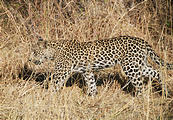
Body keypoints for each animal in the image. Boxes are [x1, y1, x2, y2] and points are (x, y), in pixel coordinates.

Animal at [29, 35, 172, 96]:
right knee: (157, 72)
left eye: (35, 52)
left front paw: (46, 98)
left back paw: (140, 98)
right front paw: (92, 97)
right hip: (139, 65)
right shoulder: (86, 71)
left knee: (140, 84)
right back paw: (165, 91)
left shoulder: (61, 72)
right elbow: (91, 84)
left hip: (130, 67)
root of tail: (142, 41)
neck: (53, 51)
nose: (29, 59)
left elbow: (54, 85)